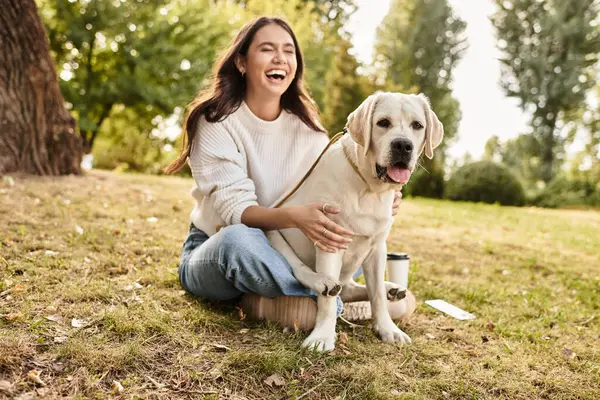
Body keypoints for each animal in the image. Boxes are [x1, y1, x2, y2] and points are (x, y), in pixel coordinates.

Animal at [266, 90, 440, 350]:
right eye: (383, 123)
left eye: (417, 125)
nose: (403, 145)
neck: (369, 188)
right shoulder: (329, 239)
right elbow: (328, 304)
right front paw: (322, 337)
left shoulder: (378, 248)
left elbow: (376, 295)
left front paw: (388, 329)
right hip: (272, 230)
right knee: (303, 272)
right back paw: (322, 281)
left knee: (350, 289)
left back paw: (392, 289)